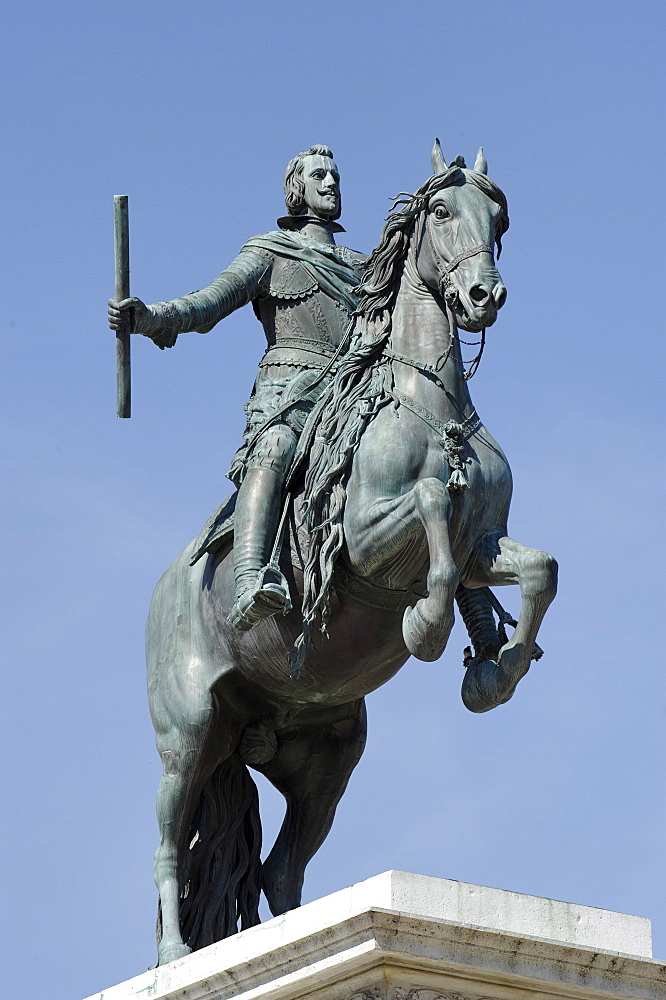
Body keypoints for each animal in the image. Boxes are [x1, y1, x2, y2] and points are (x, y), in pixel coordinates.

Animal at [147, 145, 556, 964]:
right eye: (441, 211)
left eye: (499, 219)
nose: (483, 294)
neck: (429, 402)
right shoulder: (365, 544)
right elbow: (431, 507)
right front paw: (427, 627)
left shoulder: (486, 542)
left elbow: (535, 567)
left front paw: (498, 668)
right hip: (190, 737)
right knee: (169, 843)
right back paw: (175, 957)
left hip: (322, 759)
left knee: (279, 870)